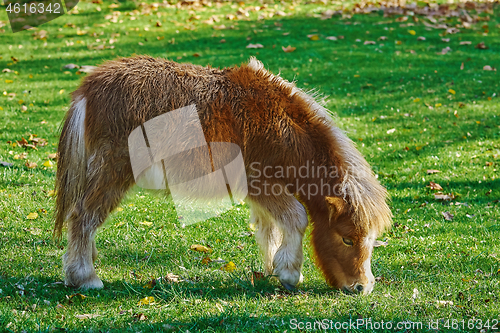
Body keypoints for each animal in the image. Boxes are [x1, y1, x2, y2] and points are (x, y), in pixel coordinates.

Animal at [53, 56, 390, 294]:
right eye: (347, 239)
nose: (362, 288)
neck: (283, 126)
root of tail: (88, 90)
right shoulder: (261, 183)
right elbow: (296, 217)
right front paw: (290, 273)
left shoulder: (263, 193)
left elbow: (270, 228)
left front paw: (273, 267)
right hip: (113, 173)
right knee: (83, 217)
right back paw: (85, 277)